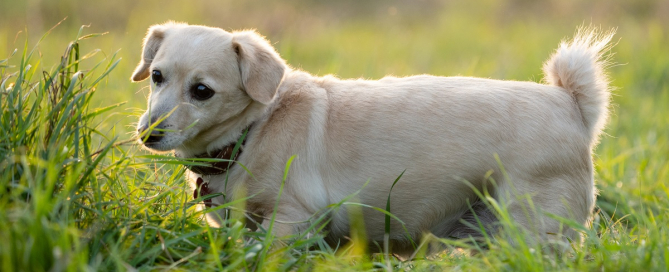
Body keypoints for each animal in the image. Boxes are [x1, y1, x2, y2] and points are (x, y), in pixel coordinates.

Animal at [132, 22, 616, 255]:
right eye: (156, 77)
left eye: (202, 91)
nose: (149, 133)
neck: (253, 130)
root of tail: (570, 102)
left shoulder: (291, 219)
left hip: (533, 227)